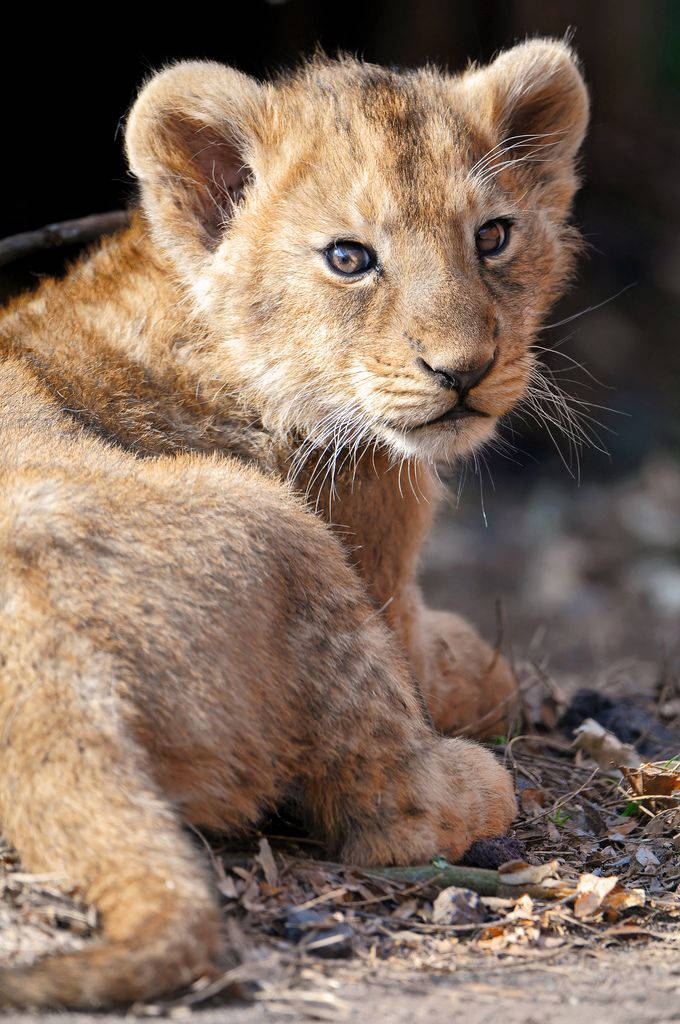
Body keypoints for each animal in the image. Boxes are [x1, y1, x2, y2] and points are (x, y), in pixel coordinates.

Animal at [0, 38, 588, 1007]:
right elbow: (483, 668)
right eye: (349, 258)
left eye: (493, 237)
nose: (464, 371)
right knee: (390, 811)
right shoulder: (388, 601)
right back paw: (479, 784)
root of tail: (53, 688)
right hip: (276, 530)